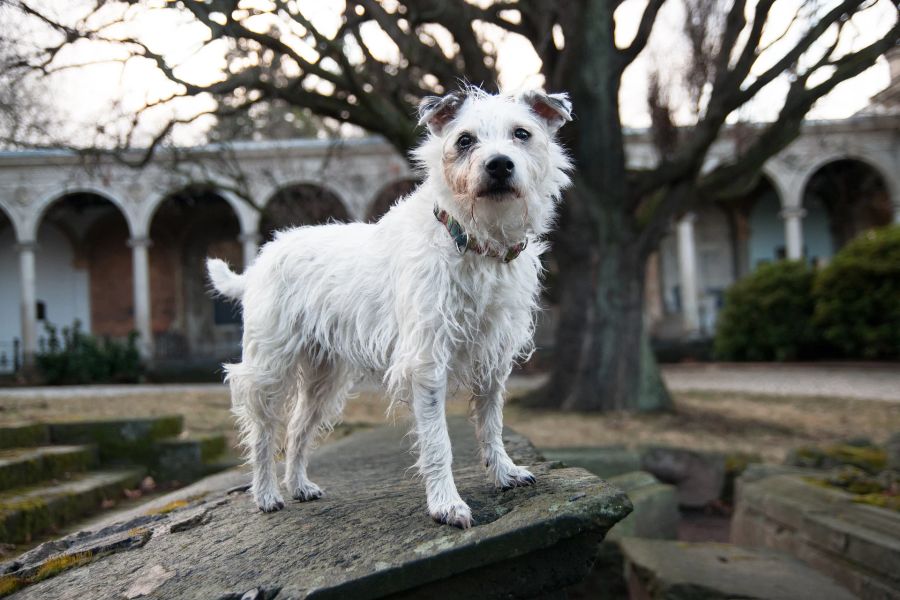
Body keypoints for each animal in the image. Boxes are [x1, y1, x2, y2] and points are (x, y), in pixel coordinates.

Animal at [208, 86, 572, 528]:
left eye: (522, 134)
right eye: (465, 140)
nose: (499, 164)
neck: (475, 241)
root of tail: (262, 259)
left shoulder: (492, 357)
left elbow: (492, 424)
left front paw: (504, 473)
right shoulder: (426, 362)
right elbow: (438, 441)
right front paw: (446, 504)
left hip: (324, 381)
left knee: (296, 430)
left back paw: (299, 486)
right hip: (269, 371)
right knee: (263, 434)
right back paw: (266, 494)